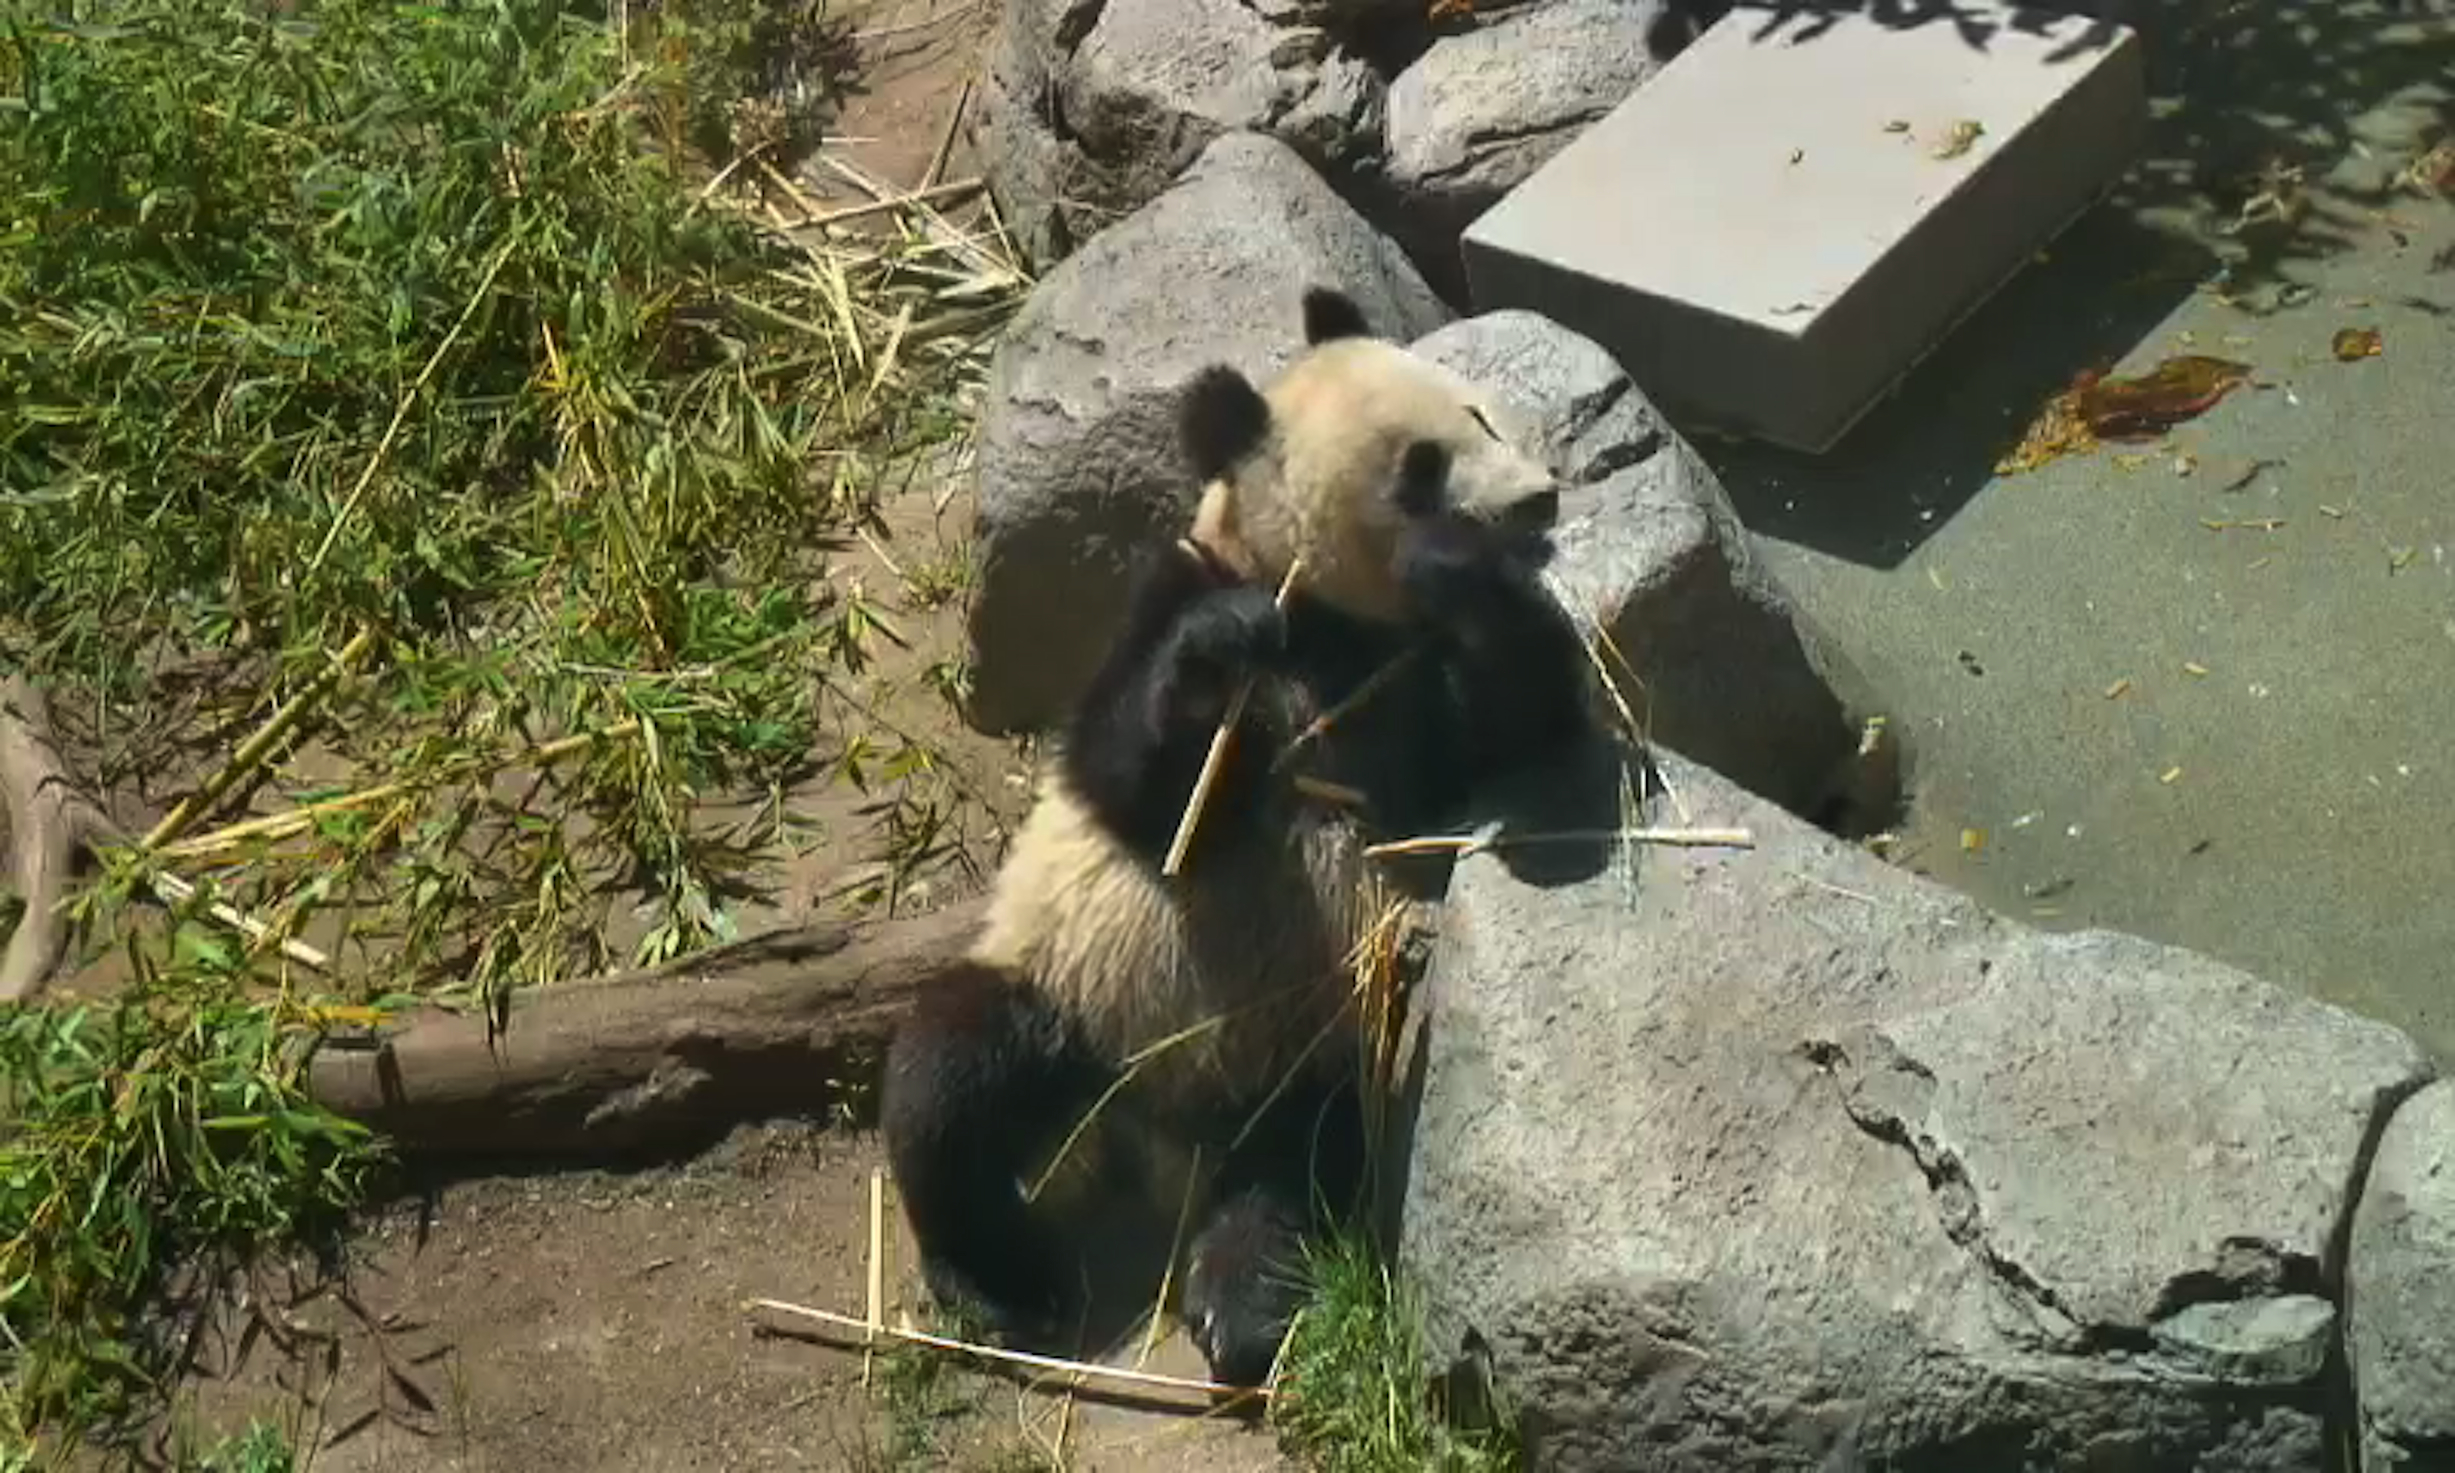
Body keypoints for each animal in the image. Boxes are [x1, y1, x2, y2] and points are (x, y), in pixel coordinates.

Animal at [879, 285, 1598, 1391]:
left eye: (1478, 415)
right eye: (1420, 468)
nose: (1534, 502)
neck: (1324, 616)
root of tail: (1160, 1129)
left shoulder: (1404, 691)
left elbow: (1517, 728)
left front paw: (1470, 578)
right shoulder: (1172, 599)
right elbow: (1133, 778)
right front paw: (1216, 651)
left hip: (1313, 1045)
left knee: (1298, 1168)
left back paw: (1244, 1298)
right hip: (1075, 990)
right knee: (950, 1080)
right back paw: (1002, 1283)